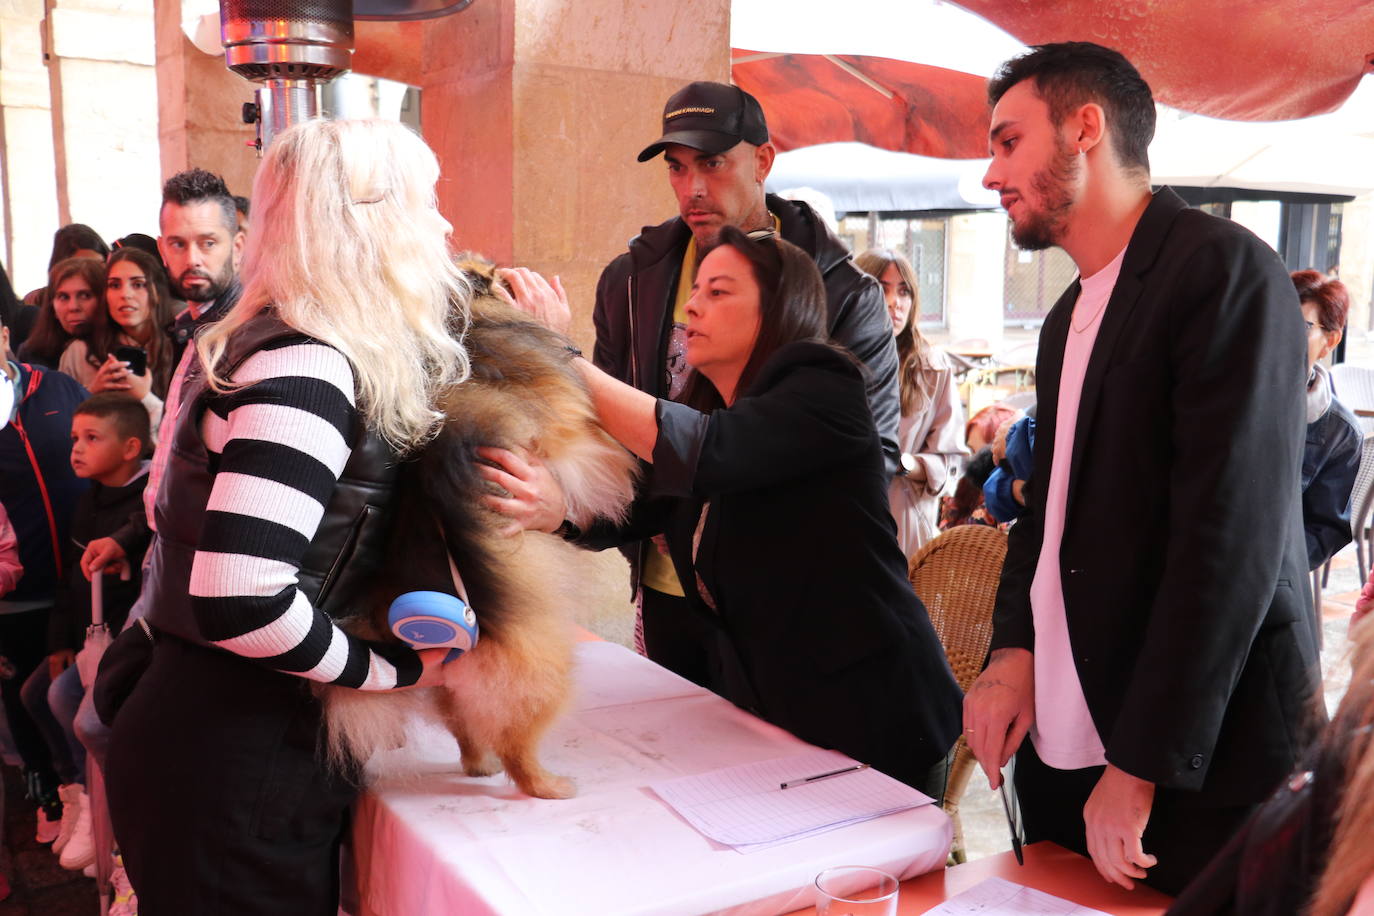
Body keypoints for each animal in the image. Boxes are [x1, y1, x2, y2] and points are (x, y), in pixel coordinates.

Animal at [321, 260, 637, 796]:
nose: (506, 273)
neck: (468, 332)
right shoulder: (563, 432)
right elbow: (587, 445)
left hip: (452, 685)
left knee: (465, 729)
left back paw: (479, 765)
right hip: (546, 671)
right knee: (515, 744)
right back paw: (548, 785)